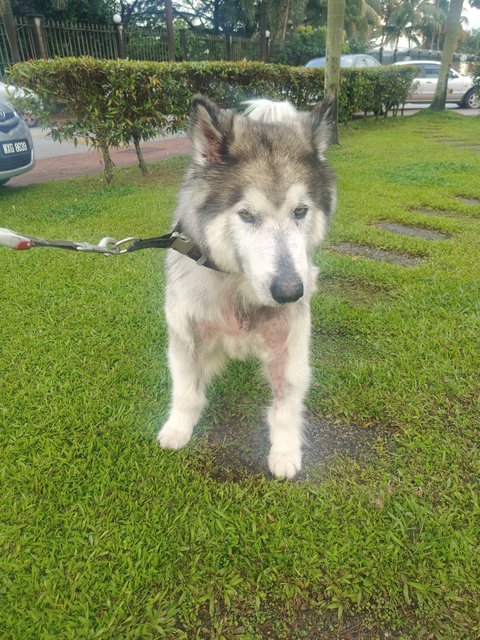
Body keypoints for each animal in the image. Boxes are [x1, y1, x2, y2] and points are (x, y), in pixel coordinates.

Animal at [158, 94, 334, 476]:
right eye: (247, 215)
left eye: (300, 211)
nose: (290, 292)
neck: (239, 291)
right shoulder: (186, 336)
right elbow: (186, 390)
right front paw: (177, 428)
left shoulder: (289, 345)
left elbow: (286, 403)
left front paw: (285, 451)